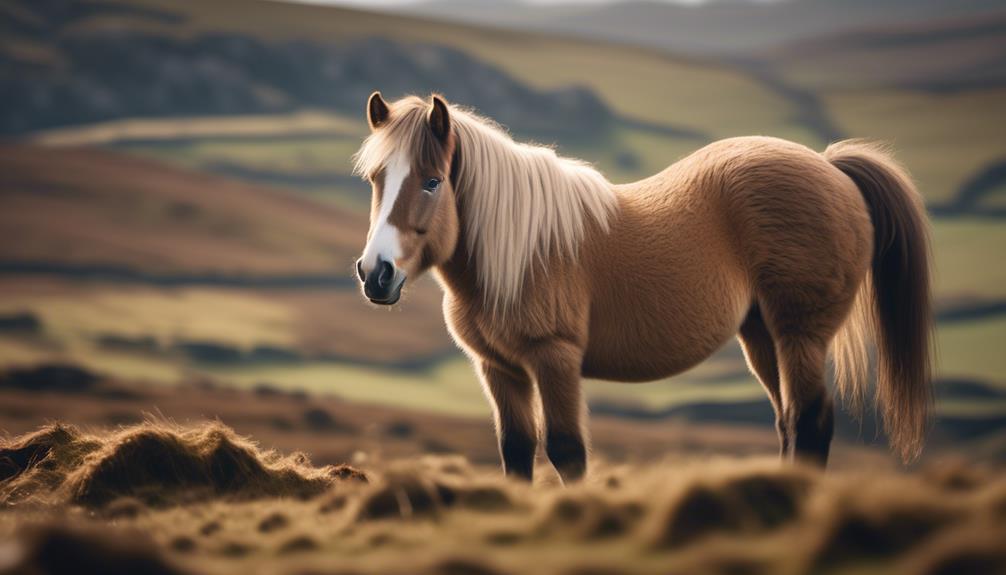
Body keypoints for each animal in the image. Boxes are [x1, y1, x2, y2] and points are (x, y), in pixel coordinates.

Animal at [354, 92, 933, 480]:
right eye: (377, 179)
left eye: (432, 181)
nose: (375, 273)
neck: (518, 249)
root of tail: (831, 166)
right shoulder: (499, 368)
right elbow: (516, 454)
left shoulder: (554, 359)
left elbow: (567, 451)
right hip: (762, 335)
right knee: (790, 421)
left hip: (800, 335)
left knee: (811, 421)